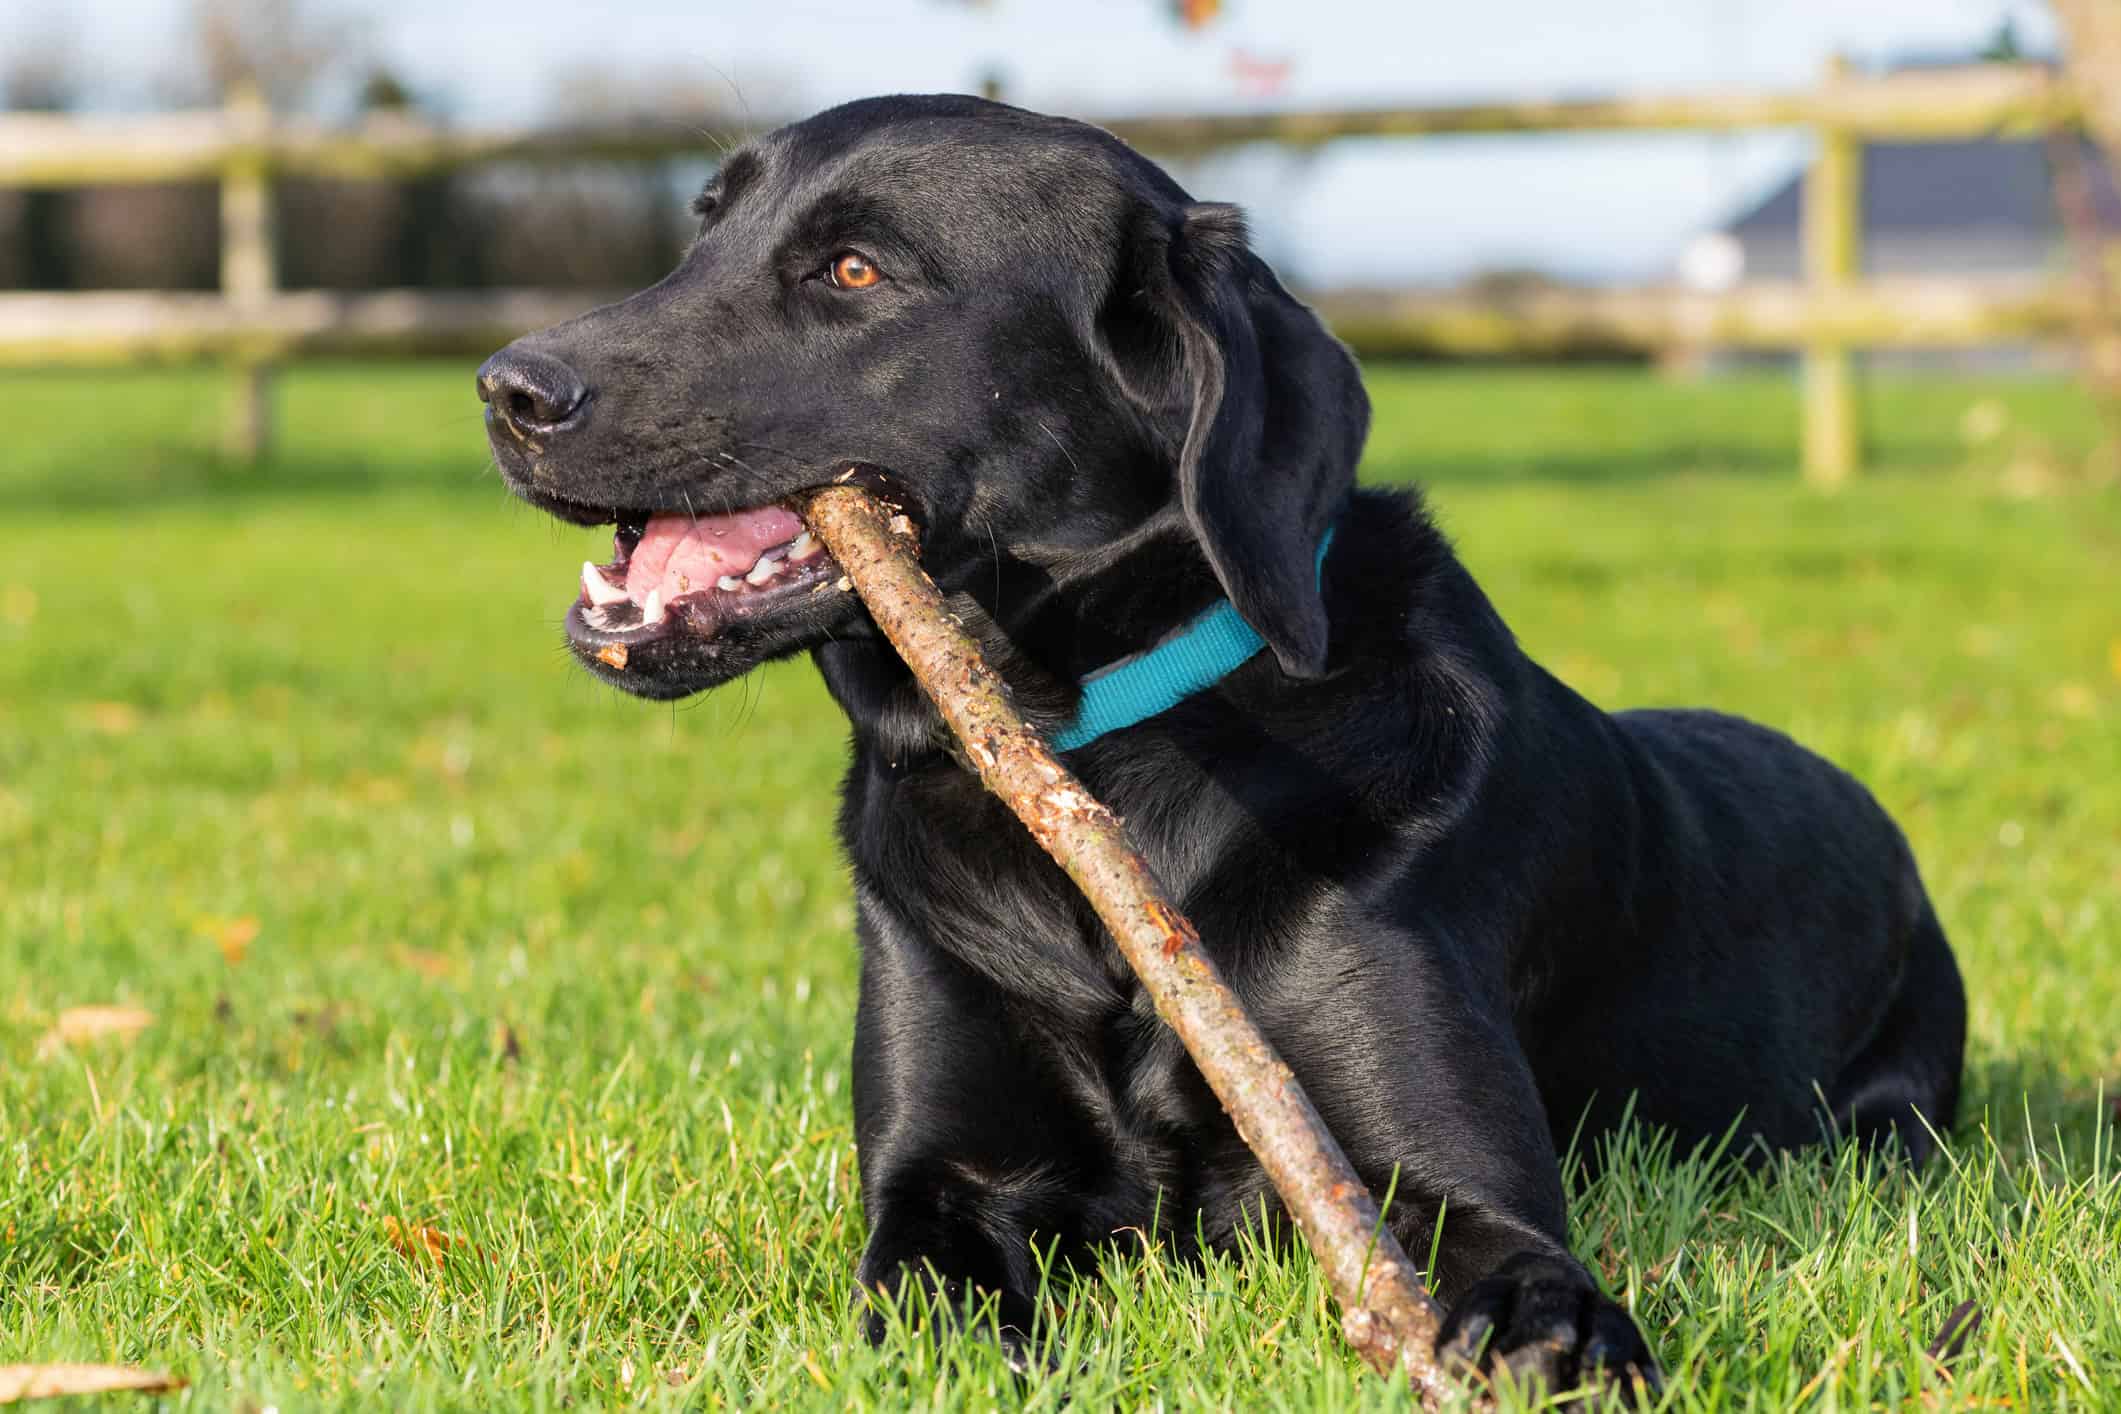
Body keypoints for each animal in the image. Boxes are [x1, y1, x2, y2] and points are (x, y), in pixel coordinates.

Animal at [477, 96, 1951, 1390]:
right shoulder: (940, 1173)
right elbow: (937, 1299)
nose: (506, 390)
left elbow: (1517, 1262)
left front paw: (1558, 1343)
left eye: (853, 269)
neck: (1090, 752)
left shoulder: (1443, 1173)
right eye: (703, 227)